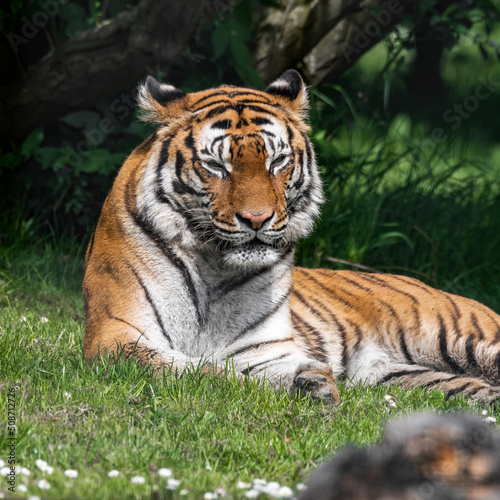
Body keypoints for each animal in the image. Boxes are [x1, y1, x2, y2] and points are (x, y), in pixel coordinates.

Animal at [82, 69, 500, 406]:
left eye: (277, 161)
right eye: (216, 165)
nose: (256, 219)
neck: (213, 268)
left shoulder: (262, 346)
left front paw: (307, 381)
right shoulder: (116, 335)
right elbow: (195, 370)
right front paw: (304, 382)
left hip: (459, 337)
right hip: (398, 376)